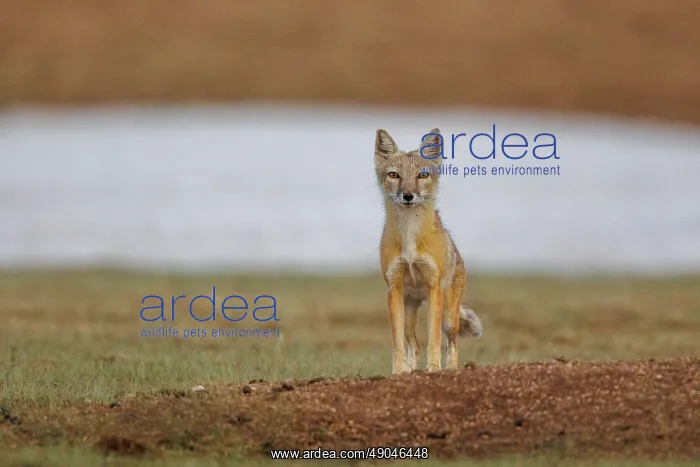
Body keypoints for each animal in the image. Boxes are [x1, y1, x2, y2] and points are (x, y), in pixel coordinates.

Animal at [374, 128, 483, 375]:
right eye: (394, 175)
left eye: (422, 176)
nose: (408, 196)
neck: (410, 237)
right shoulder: (393, 288)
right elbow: (398, 345)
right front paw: (397, 373)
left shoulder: (434, 286)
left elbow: (434, 341)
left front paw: (433, 370)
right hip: (408, 312)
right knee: (413, 346)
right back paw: (409, 372)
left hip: (449, 316)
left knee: (452, 344)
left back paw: (450, 370)